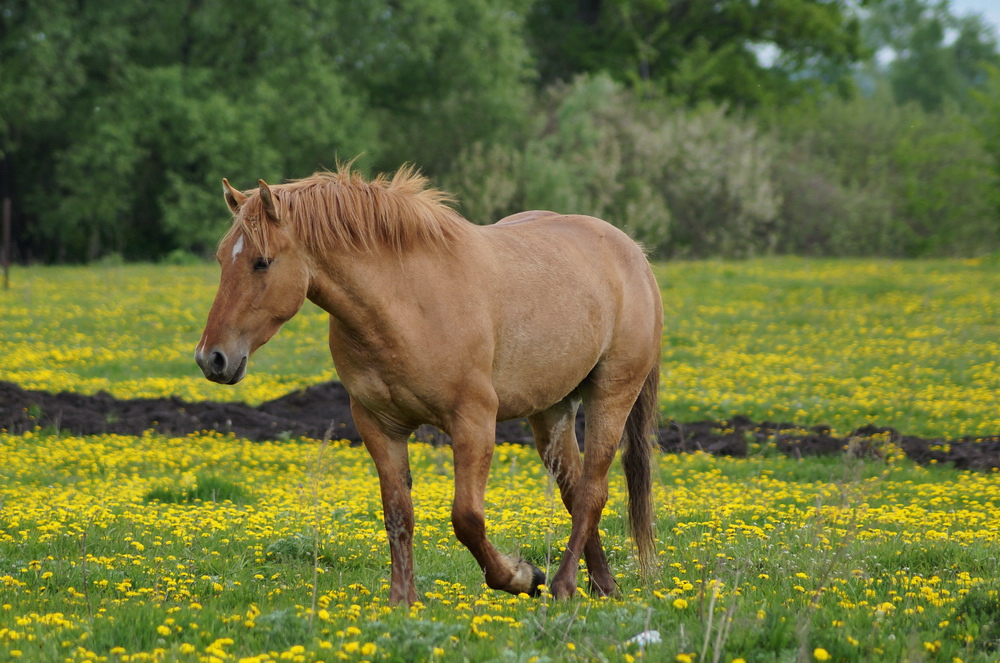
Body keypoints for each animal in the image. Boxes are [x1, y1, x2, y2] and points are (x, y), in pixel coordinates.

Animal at [195, 167, 664, 608]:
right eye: (220, 259)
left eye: (262, 261)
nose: (210, 358)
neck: (407, 301)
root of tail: (633, 253)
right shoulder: (379, 426)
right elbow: (397, 514)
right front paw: (402, 601)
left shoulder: (473, 422)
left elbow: (467, 519)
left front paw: (521, 577)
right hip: (551, 410)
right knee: (573, 490)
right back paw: (603, 586)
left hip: (611, 396)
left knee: (591, 492)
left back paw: (564, 586)